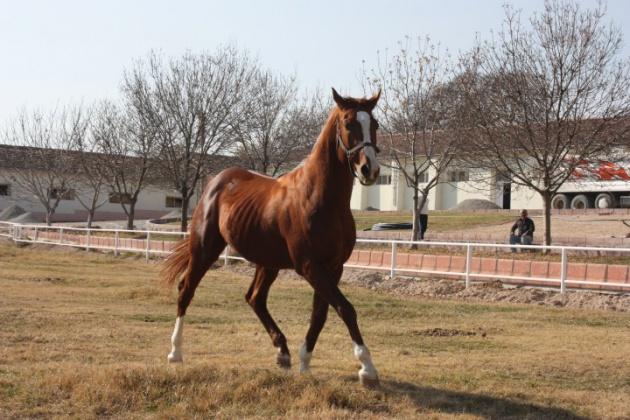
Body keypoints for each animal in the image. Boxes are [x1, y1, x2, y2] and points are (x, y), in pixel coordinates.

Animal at [160, 88, 382, 388]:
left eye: (375, 124)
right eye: (348, 123)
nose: (370, 169)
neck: (319, 198)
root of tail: (217, 181)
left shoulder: (333, 267)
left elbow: (321, 314)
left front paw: (304, 362)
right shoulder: (310, 266)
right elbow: (345, 308)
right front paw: (367, 368)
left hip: (268, 263)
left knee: (255, 298)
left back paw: (282, 352)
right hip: (205, 249)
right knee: (186, 289)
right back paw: (175, 353)